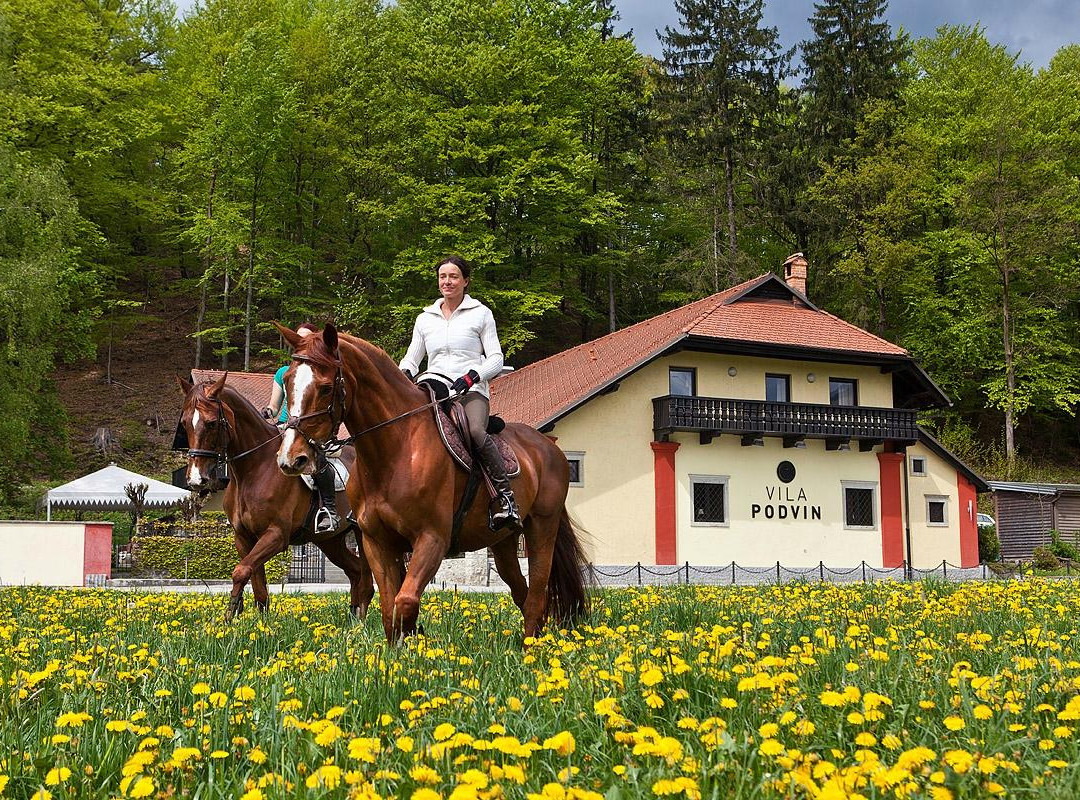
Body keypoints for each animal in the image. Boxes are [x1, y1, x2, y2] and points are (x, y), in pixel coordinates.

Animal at [178, 373, 375, 617]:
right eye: (185, 423)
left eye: (212, 423)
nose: (197, 478)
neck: (254, 469)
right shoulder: (243, 537)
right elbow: (257, 585)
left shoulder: (276, 535)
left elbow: (241, 571)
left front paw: (230, 613)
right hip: (330, 541)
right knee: (355, 571)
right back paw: (353, 618)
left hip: (362, 533)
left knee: (367, 582)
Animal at [272, 321, 591, 639]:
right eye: (287, 381)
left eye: (326, 388)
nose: (292, 459)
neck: (396, 450)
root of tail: (549, 445)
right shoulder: (378, 543)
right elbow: (389, 611)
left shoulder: (432, 539)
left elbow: (405, 602)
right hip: (503, 542)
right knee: (522, 594)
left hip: (542, 529)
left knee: (536, 596)